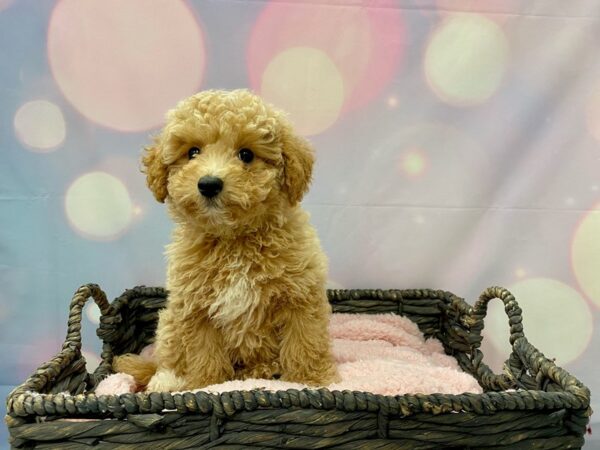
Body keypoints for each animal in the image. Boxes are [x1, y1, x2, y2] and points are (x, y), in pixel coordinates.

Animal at [112, 89, 338, 392]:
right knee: (167, 359)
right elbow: (203, 352)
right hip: (170, 321)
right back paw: (167, 380)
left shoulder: (300, 295)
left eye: (246, 155)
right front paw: (206, 384)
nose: (208, 184)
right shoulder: (195, 307)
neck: (233, 241)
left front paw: (311, 380)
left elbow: (304, 341)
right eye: (193, 152)